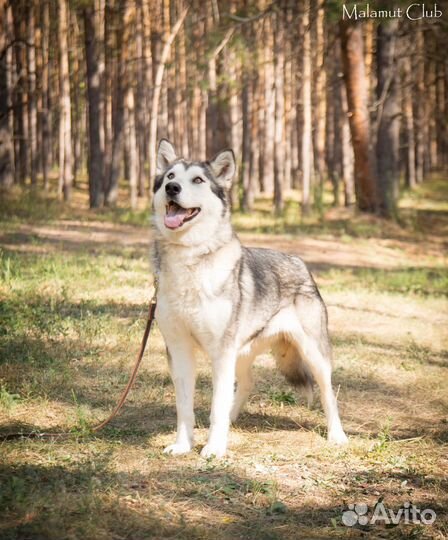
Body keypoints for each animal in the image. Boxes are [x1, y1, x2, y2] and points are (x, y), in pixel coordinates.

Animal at [150, 139, 346, 456]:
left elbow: (216, 406)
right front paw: (184, 445)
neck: (189, 259)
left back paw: (337, 435)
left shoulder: (221, 352)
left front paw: (214, 449)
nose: (172, 189)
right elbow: (185, 407)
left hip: (314, 355)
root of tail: (300, 262)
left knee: (329, 393)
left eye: (198, 180)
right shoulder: (179, 351)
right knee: (246, 385)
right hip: (240, 354)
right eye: (170, 176)